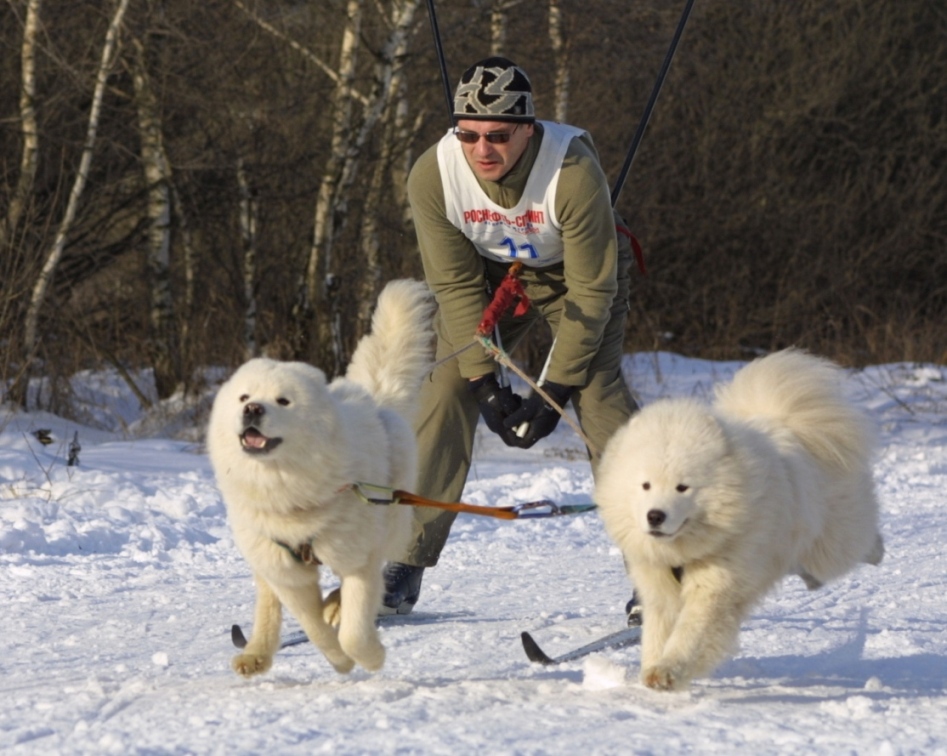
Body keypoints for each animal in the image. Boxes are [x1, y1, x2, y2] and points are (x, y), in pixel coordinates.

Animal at [209, 280, 436, 680]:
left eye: (283, 401)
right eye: (244, 396)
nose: (252, 409)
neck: (286, 489)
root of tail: (375, 398)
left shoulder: (356, 558)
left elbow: (354, 628)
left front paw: (370, 657)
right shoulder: (287, 570)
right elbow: (311, 625)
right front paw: (339, 659)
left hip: (386, 526)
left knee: (370, 575)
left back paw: (334, 607)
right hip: (264, 553)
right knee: (269, 597)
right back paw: (256, 652)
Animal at [596, 348, 884, 692]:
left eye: (682, 487)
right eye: (645, 485)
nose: (655, 516)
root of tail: (787, 422)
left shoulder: (715, 587)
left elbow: (691, 633)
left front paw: (668, 671)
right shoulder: (658, 587)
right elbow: (657, 632)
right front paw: (653, 668)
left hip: (831, 541)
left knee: (859, 540)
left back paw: (877, 551)